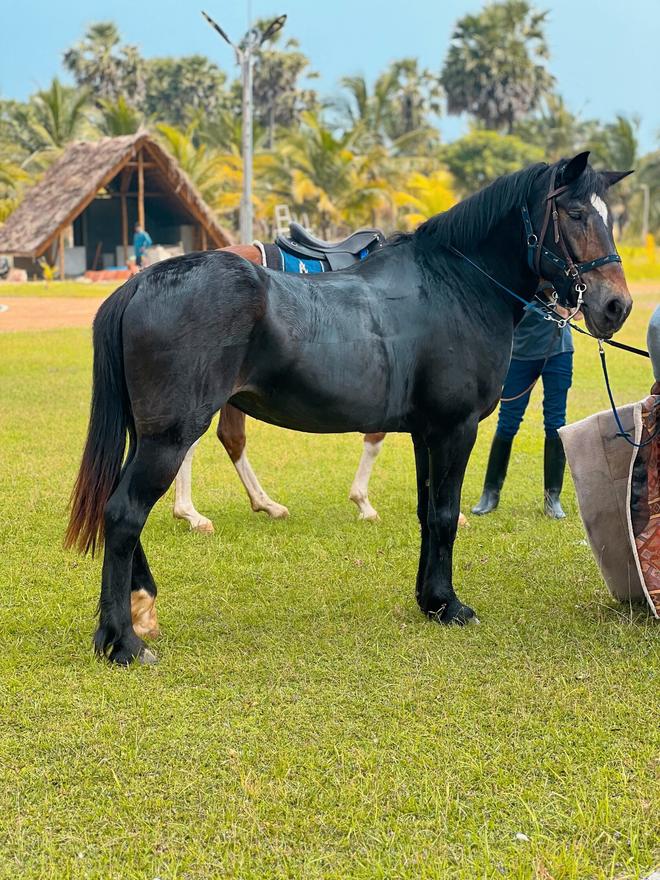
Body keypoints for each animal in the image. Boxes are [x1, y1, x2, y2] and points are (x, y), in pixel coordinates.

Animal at [65, 152, 632, 665]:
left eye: (609, 216)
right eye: (575, 214)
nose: (616, 306)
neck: (455, 284)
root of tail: (140, 281)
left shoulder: (425, 433)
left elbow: (427, 513)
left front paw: (430, 600)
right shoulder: (455, 428)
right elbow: (445, 514)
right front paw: (450, 606)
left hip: (151, 435)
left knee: (121, 507)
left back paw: (140, 610)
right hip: (172, 435)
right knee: (124, 513)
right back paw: (124, 641)